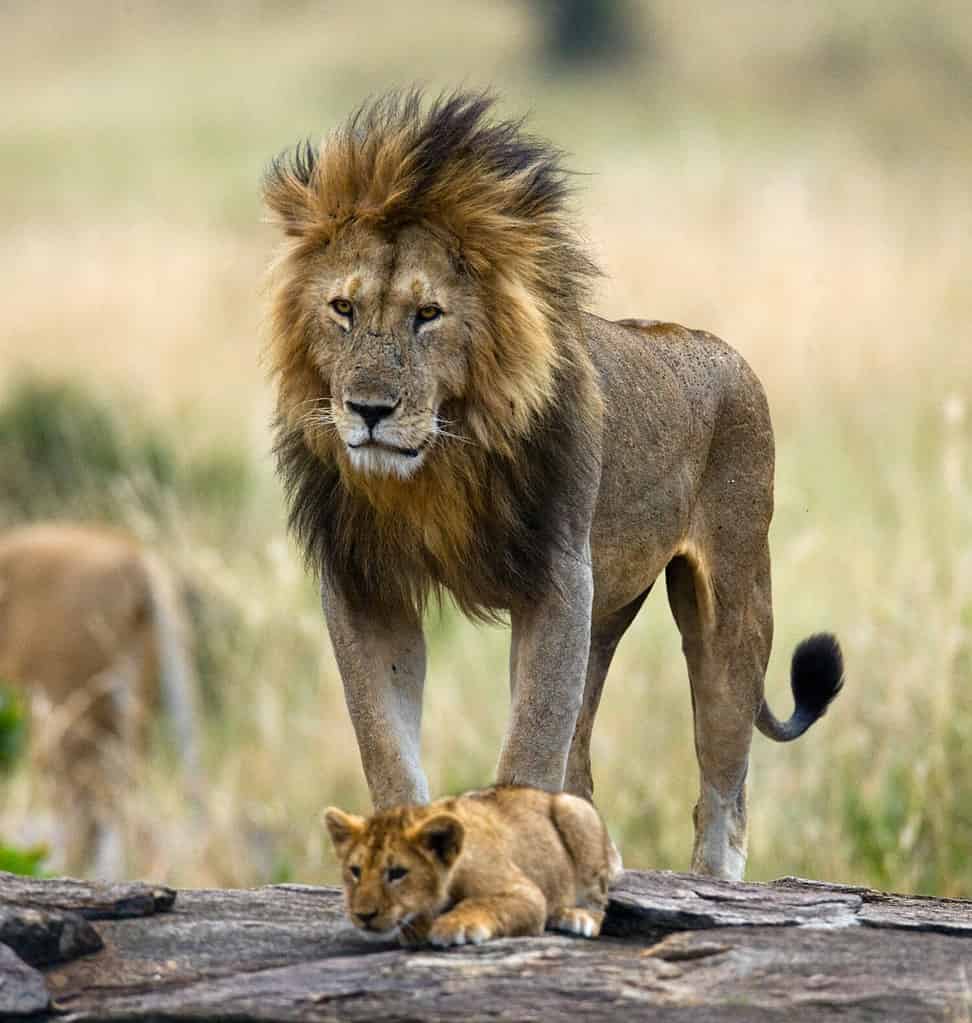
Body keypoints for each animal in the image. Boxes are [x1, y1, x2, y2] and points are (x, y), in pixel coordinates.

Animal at [263, 91, 844, 881]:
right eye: (343, 309)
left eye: (427, 314)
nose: (368, 409)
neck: (439, 461)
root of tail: (718, 347)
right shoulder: (365, 584)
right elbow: (386, 743)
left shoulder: (557, 578)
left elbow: (531, 742)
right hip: (606, 615)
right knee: (585, 761)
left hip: (732, 602)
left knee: (724, 784)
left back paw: (713, 879)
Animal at [324, 785, 618, 947]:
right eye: (355, 871)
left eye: (397, 873)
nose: (363, 915)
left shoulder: (528, 894)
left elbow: (485, 902)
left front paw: (454, 925)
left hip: (576, 811)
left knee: (601, 905)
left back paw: (575, 917)